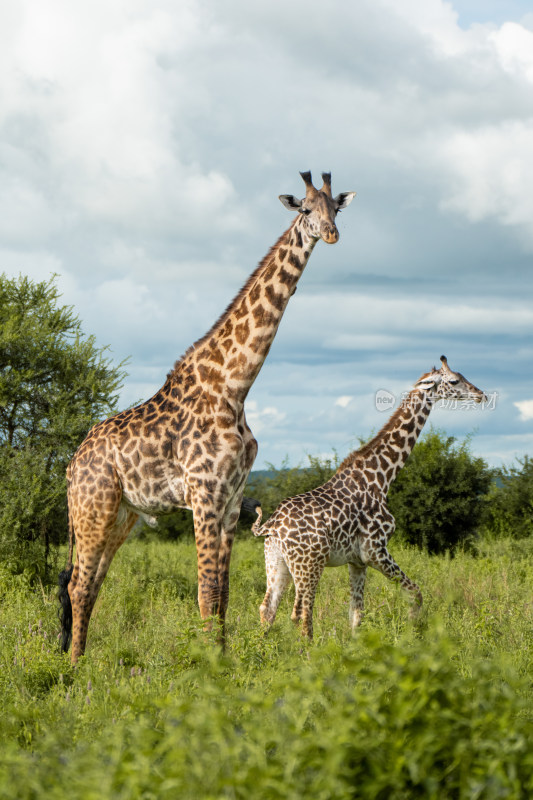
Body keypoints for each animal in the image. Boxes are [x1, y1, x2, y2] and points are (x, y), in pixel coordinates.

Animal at [59, 170, 354, 664]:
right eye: (305, 209)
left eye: (337, 208)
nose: (332, 234)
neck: (234, 387)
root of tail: (73, 463)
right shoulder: (204, 493)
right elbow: (206, 590)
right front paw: (206, 664)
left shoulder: (232, 499)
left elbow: (225, 592)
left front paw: (223, 656)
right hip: (92, 509)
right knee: (78, 585)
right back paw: (75, 665)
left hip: (122, 515)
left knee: (93, 582)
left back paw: (78, 655)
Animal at [252, 356, 486, 636]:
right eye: (454, 381)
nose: (481, 394)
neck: (382, 478)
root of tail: (272, 525)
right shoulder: (376, 550)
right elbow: (415, 593)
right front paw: (413, 633)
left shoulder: (357, 561)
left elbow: (356, 614)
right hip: (309, 563)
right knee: (301, 613)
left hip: (276, 562)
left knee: (268, 609)